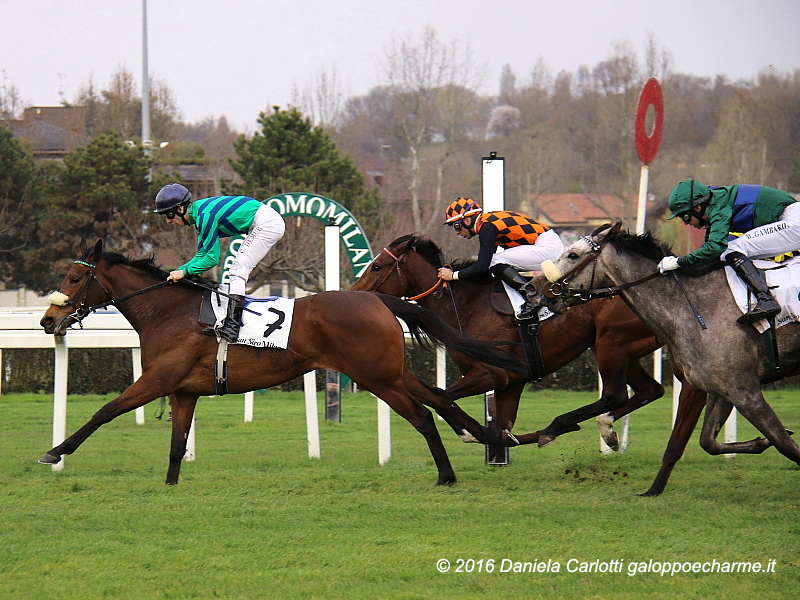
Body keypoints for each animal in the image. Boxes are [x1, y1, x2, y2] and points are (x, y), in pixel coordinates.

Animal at [37, 237, 528, 486]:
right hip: (391, 371)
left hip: (376, 377)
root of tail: (379, 300)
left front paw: (55, 451)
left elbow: (105, 411)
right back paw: (488, 435)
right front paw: (171, 483)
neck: (167, 313)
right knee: (439, 399)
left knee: (424, 415)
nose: (47, 320)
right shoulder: (181, 391)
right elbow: (177, 443)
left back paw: (447, 474)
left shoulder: (157, 379)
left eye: (75, 277)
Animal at [350, 232, 708, 494]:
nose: (354, 294)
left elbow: (444, 398)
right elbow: (498, 425)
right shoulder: (511, 383)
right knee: (648, 391)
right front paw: (492, 440)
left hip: (610, 343)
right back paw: (604, 431)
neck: (464, 305)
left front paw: (473, 434)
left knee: (616, 394)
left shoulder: (494, 374)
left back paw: (558, 427)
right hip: (622, 350)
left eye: (377, 266)